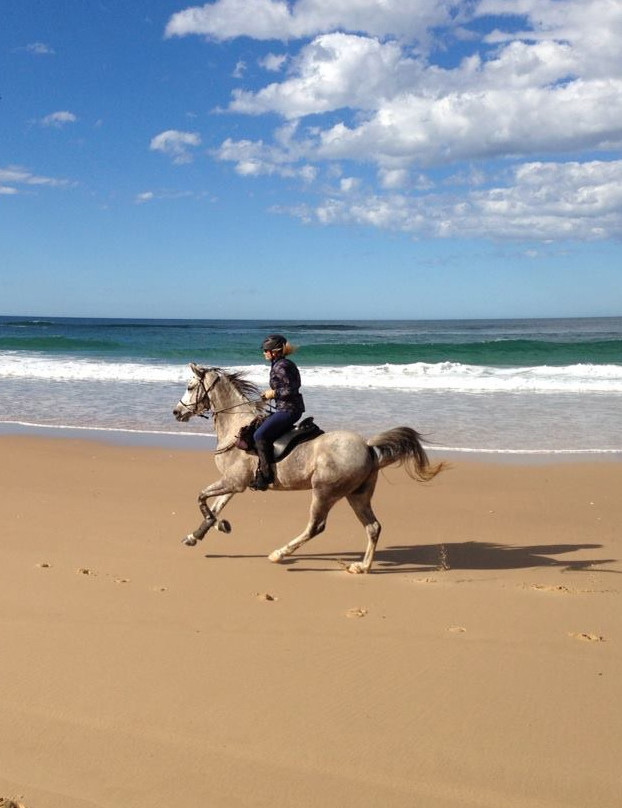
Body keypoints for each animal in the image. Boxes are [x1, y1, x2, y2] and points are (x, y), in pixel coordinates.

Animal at [173, 364, 445, 574]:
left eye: (190, 387)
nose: (176, 412)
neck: (237, 427)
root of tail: (368, 448)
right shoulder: (234, 483)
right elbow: (214, 504)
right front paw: (196, 535)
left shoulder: (233, 482)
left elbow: (202, 498)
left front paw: (219, 525)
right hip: (357, 495)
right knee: (373, 527)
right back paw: (362, 567)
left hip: (324, 492)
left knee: (317, 526)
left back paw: (279, 554)